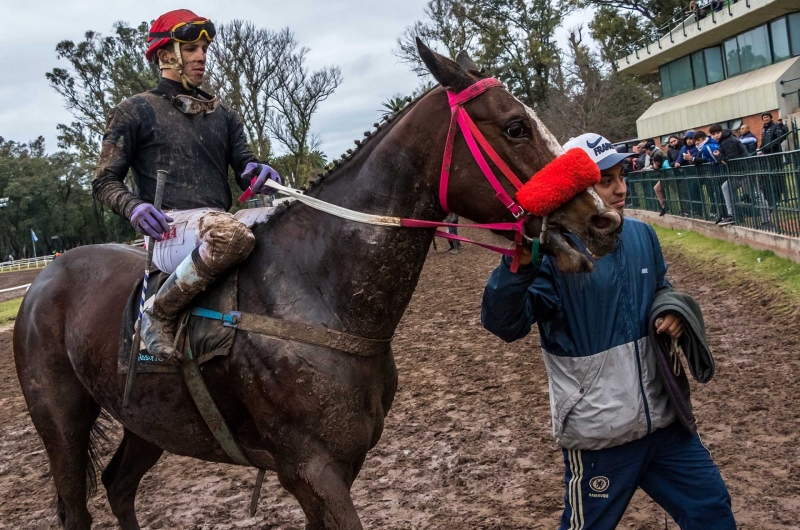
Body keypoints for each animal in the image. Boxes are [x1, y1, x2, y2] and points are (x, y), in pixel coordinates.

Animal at [15, 42, 620, 528]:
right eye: (516, 126)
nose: (603, 220)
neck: (317, 295)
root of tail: (45, 277)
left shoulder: (340, 466)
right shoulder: (312, 469)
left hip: (146, 420)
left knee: (119, 487)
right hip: (61, 424)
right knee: (76, 506)